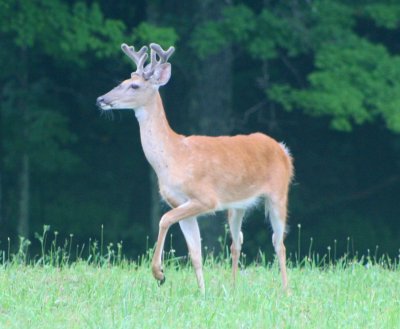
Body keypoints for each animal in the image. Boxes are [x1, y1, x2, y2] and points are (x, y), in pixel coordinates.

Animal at [95, 41, 292, 292]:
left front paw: (159, 273)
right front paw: (202, 292)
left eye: (134, 86)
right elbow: (196, 253)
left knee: (279, 242)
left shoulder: (205, 198)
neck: (173, 156)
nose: (101, 99)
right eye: (121, 81)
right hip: (237, 205)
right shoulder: (181, 203)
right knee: (237, 240)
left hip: (278, 193)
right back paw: (234, 287)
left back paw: (285, 291)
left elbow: (164, 219)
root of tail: (282, 149)